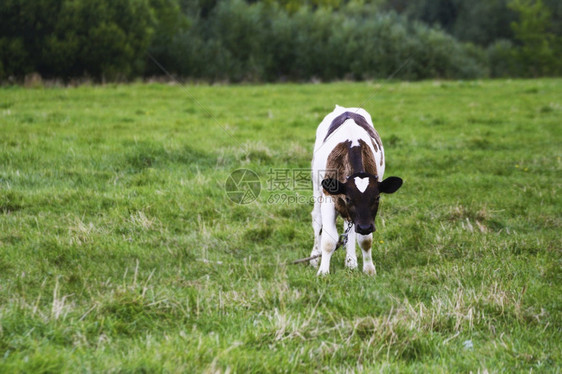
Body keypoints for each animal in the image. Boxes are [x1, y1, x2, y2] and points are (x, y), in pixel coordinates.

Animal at [308, 105, 400, 274]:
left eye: (377, 198)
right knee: (317, 220)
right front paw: (323, 272)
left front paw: (369, 270)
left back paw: (351, 262)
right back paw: (314, 258)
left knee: (348, 227)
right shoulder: (328, 196)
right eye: (349, 198)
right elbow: (328, 240)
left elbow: (365, 240)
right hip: (317, 187)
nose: (364, 227)